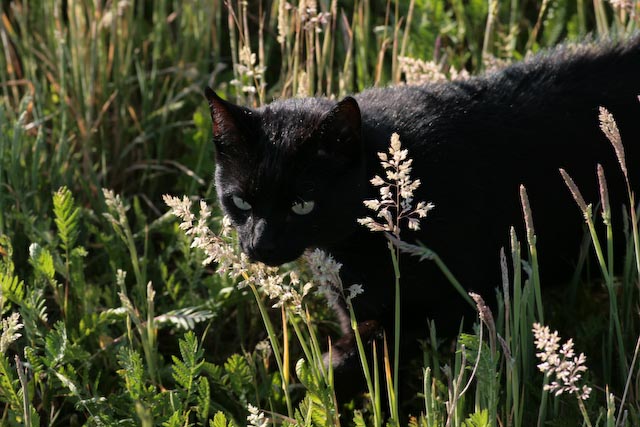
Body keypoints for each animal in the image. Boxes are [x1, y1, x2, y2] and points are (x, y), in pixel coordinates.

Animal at [206, 37, 640, 402]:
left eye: (302, 205)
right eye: (241, 202)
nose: (260, 245)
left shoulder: (453, 303)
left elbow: (365, 353)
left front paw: (312, 380)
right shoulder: (356, 304)